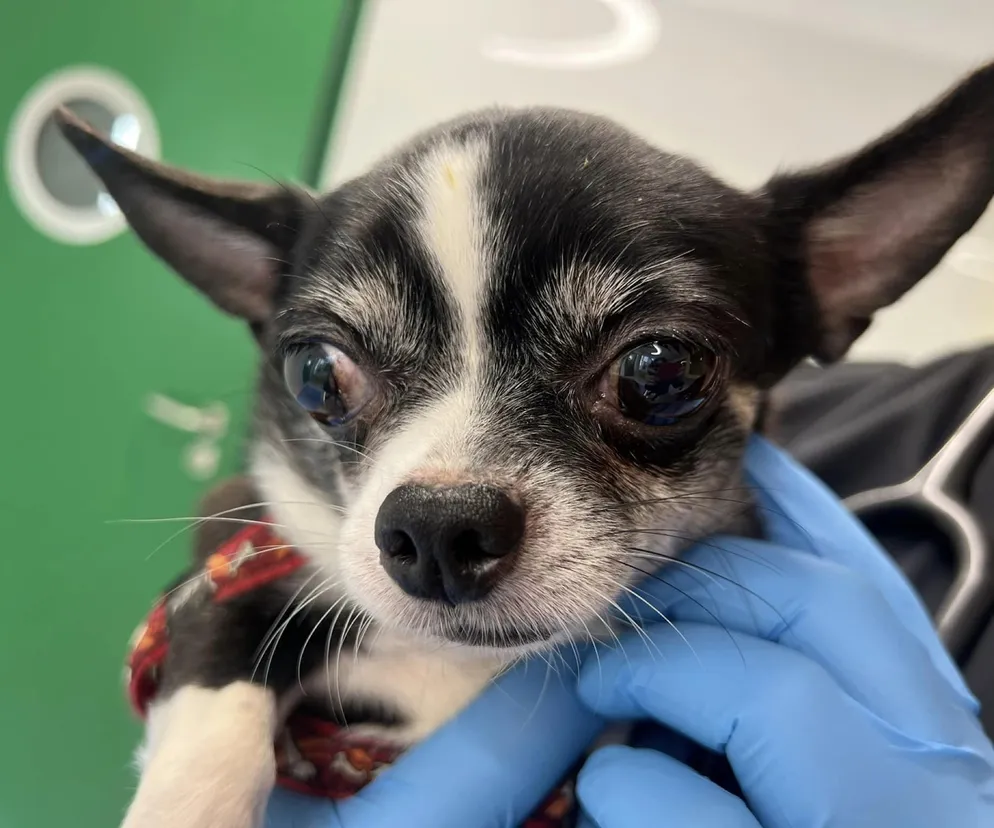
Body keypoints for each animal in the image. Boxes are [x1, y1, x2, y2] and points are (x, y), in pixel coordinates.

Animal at [58, 60, 994, 827]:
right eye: (316, 375)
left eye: (659, 371)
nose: (439, 525)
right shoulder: (233, 568)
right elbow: (215, 687)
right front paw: (185, 809)